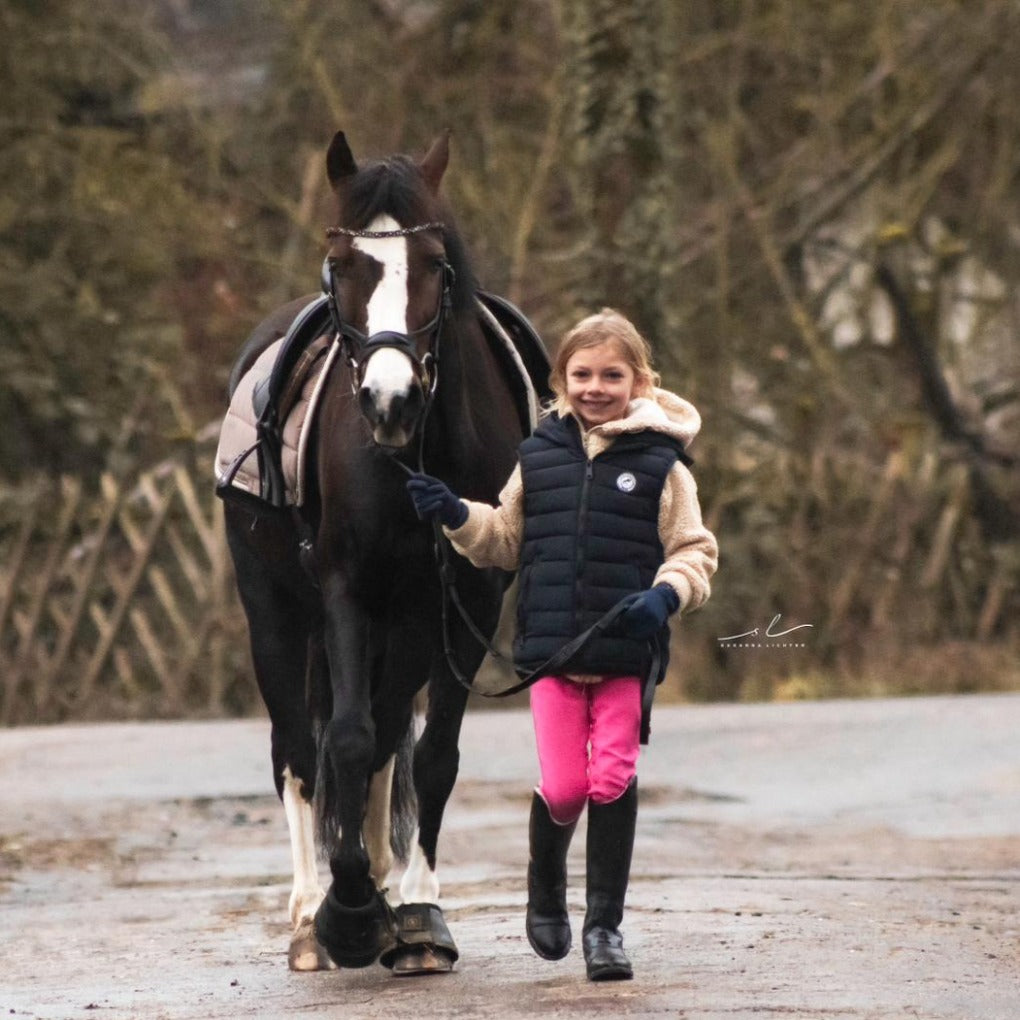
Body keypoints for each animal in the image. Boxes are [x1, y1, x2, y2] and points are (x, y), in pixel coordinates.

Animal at [220, 130, 544, 976]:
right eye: (343, 267)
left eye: (433, 264)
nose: (389, 402)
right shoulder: (346, 589)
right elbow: (345, 740)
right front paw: (347, 914)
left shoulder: (461, 605)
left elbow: (424, 756)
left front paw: (414, 913)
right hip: (275, 614)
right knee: (301, 749)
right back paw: (312, 911)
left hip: (404, 625)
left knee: (388, 737)